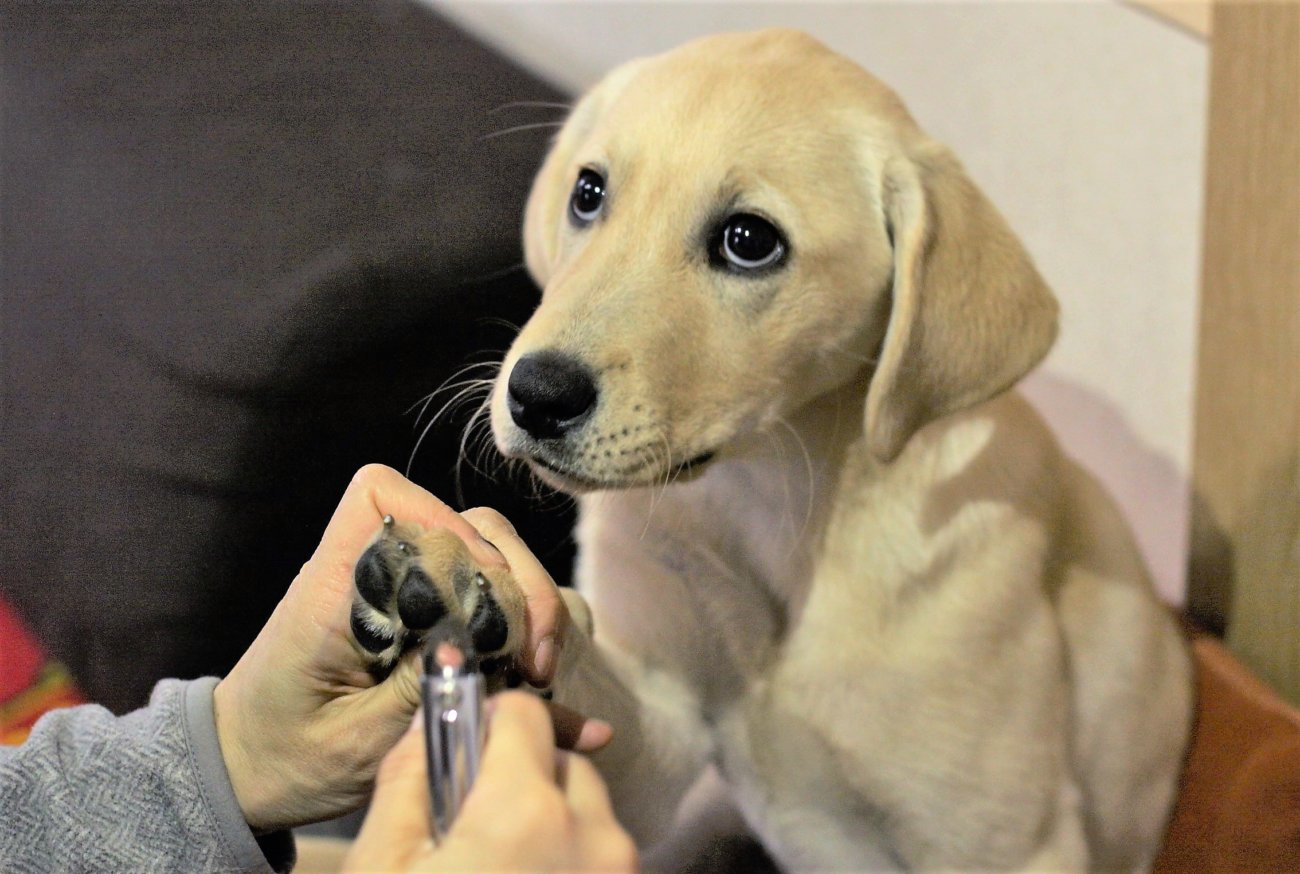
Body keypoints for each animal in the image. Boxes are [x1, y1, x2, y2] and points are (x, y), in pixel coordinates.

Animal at [352, 29, 1194, 871]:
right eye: (588, 193)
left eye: (749, 241)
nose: (536, 395)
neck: (769, 500)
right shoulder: (648, 740)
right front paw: (452, 578)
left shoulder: (1009, 842)